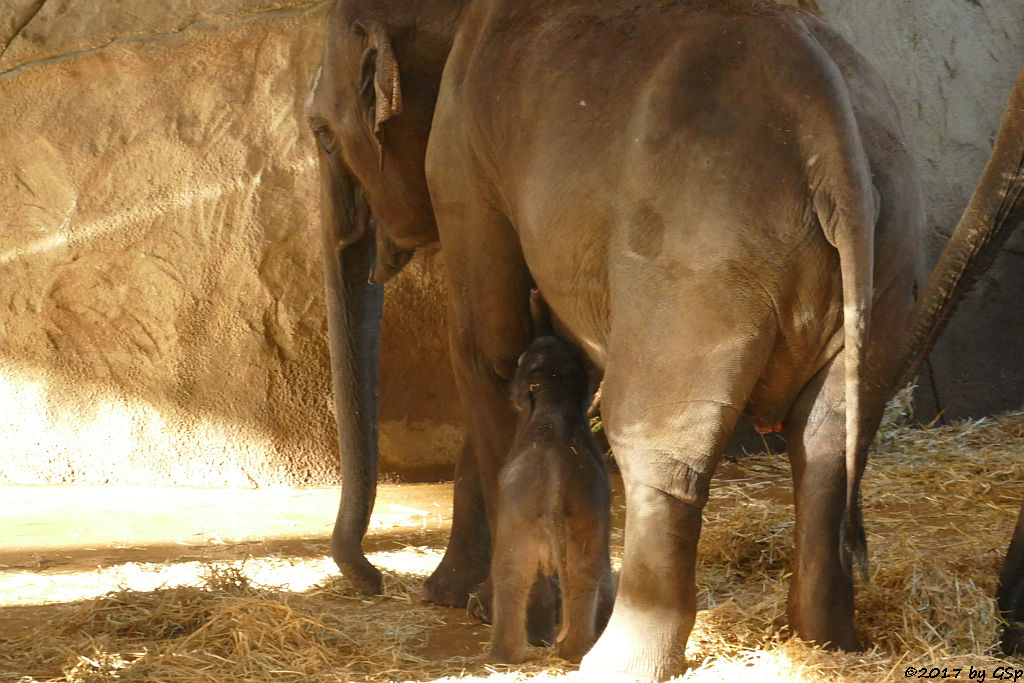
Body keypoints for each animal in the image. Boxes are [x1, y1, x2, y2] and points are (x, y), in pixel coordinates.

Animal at [489, 331, 610, 663]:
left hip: (521, 512)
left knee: (512, 575)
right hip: (580, 509)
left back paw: (508, 657)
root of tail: (558, 473)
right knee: (582, 574)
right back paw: (571, 654)